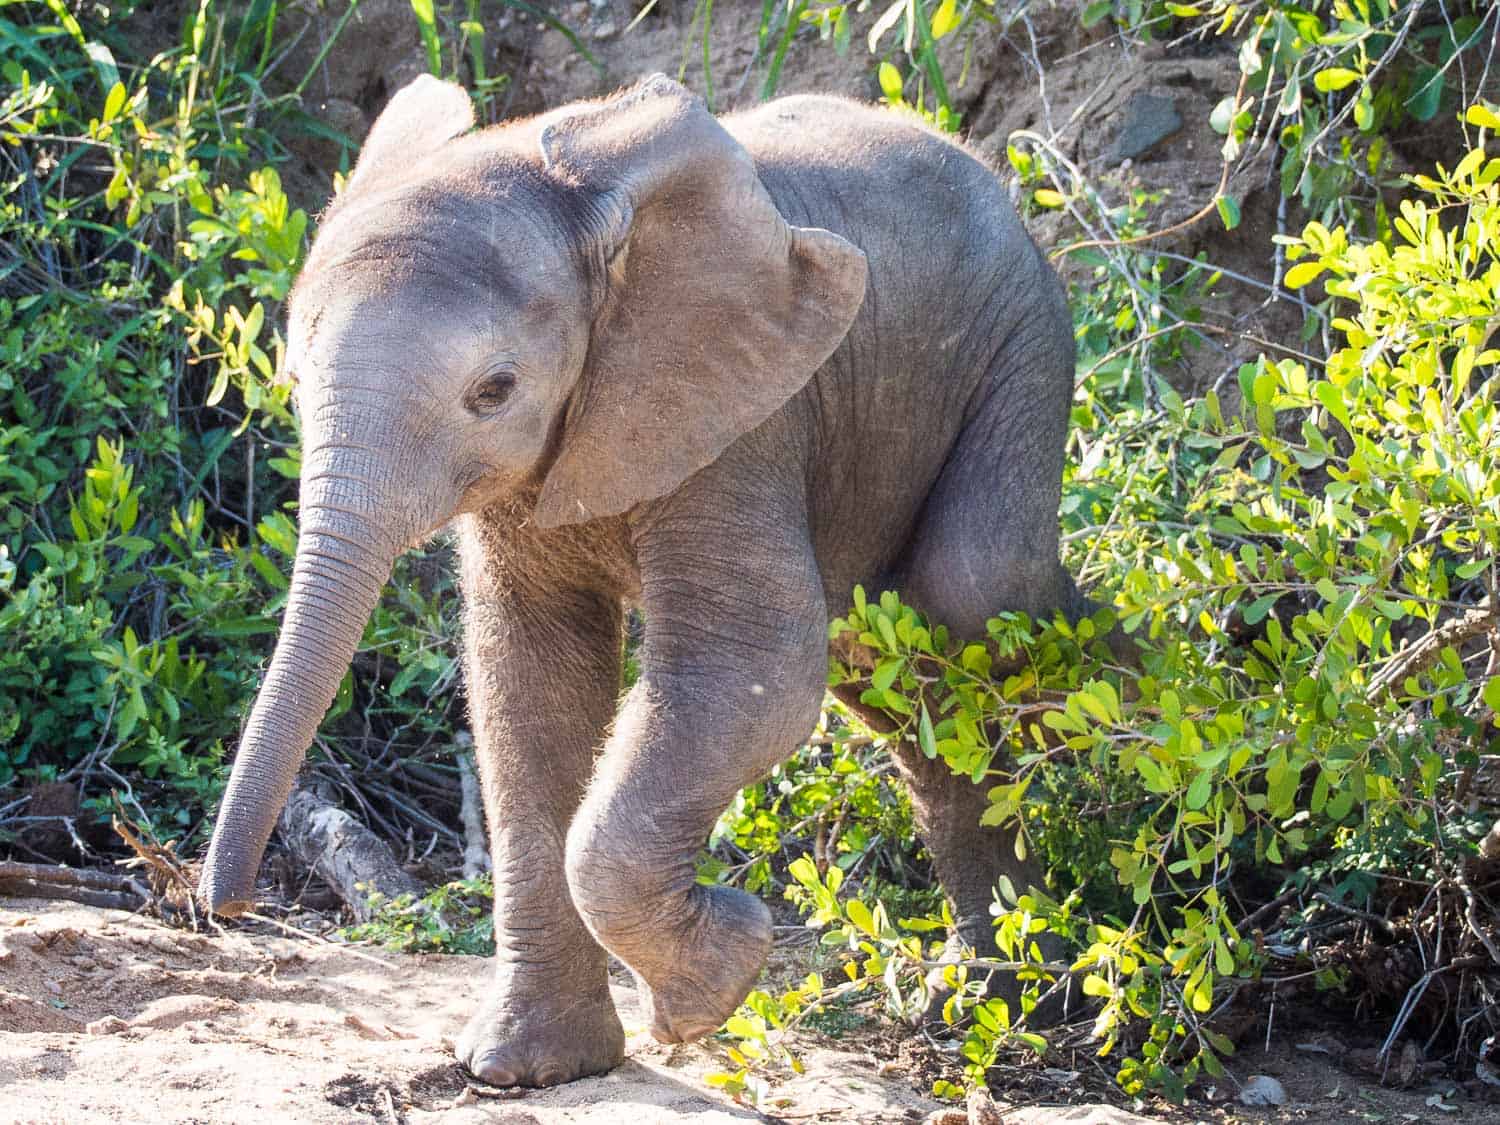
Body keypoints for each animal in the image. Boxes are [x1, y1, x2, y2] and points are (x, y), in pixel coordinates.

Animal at [199, 75, 1092, 1086]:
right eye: (294, 375)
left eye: (494, 391)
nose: (227, 910)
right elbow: (533, 687)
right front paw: (530, 1067)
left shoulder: (745, 411)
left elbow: (749, 671)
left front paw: (717, 979)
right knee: (889, 665)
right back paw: (1001, 997)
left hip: (1021, 340)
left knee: (971, 595)